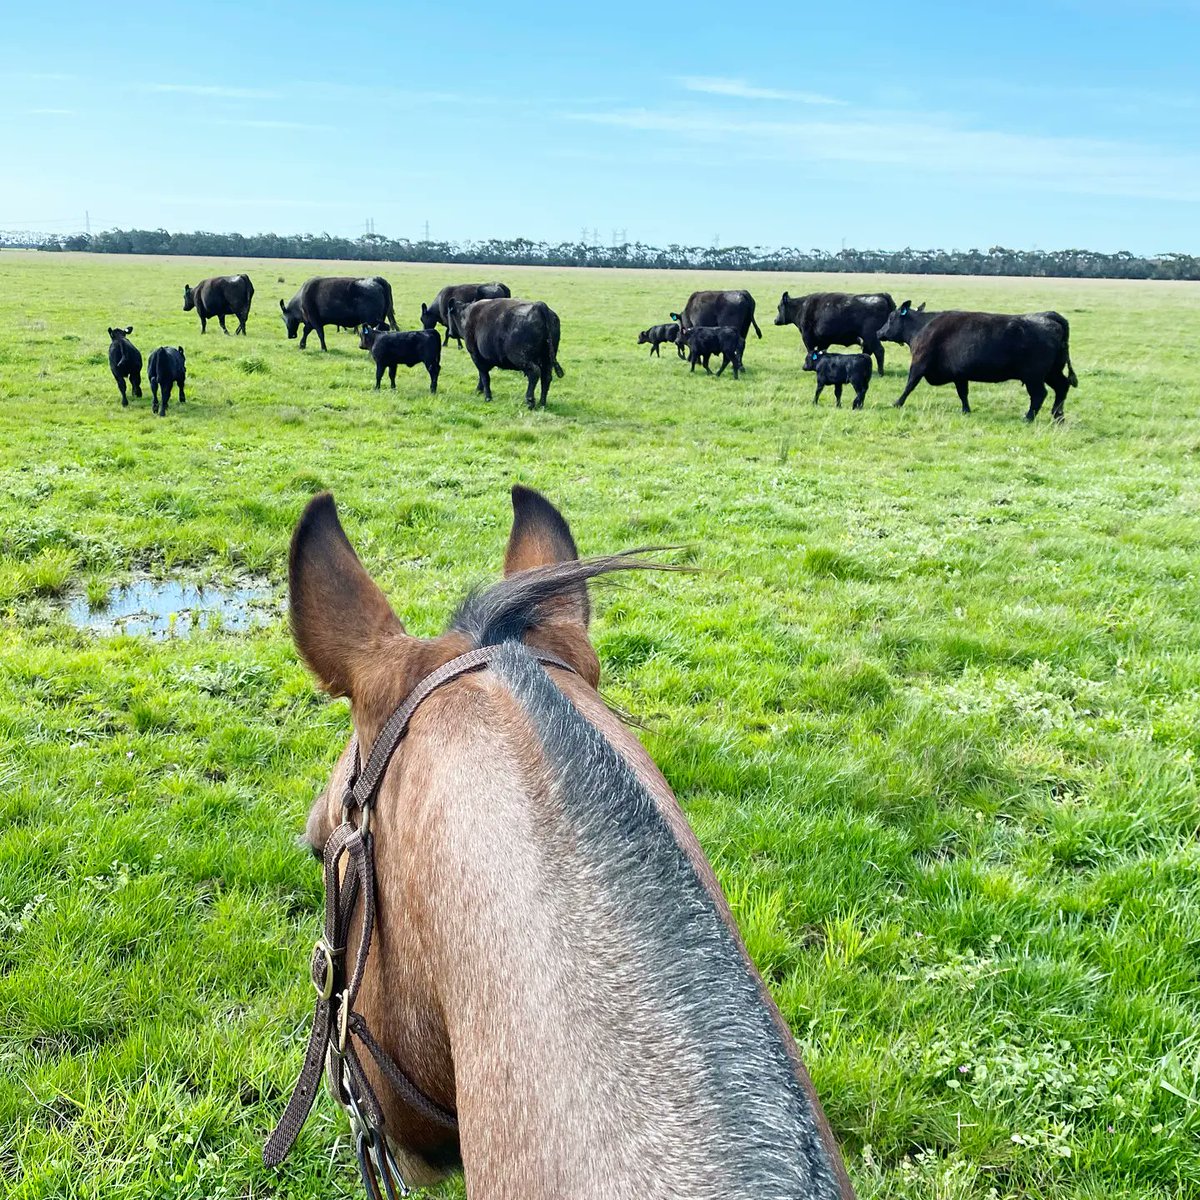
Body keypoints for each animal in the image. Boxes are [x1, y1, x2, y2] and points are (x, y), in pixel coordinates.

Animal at [891, 308, 1079, 422]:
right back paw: (1058, 416)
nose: (882, 331)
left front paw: (897, 403)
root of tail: (1049, 315)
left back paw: (1028, 417)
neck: (922, 327)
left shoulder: (919, 364)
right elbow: (963, 394)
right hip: (1052, 372)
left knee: (1040, 394)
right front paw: (966, 410)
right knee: (1062, 387)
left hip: (1034, 377)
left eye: (891, 318)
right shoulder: (960, 375)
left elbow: (910, 385)